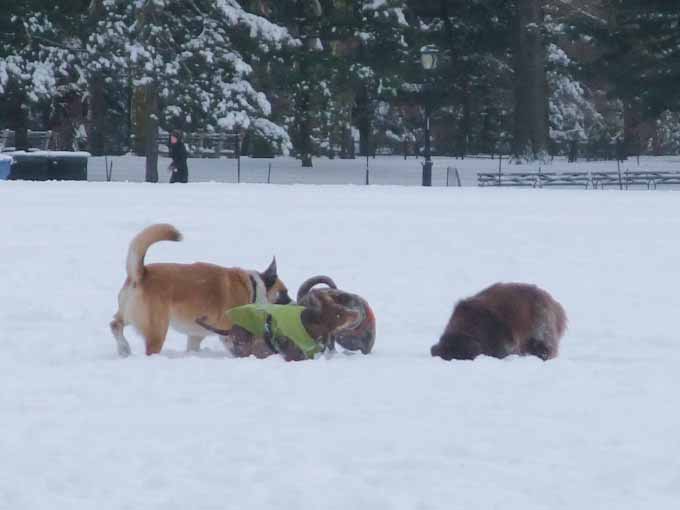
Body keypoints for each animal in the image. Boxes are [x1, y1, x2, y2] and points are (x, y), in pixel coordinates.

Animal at [110, 225, 290, 356]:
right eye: (284, 292)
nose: (293, 303)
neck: (253, 288)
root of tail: (141, 273)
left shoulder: (195, 335)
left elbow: (192, 347)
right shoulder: (229, 333)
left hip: (128, 315)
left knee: (115, 325)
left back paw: (124, 348)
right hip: (157, 331)